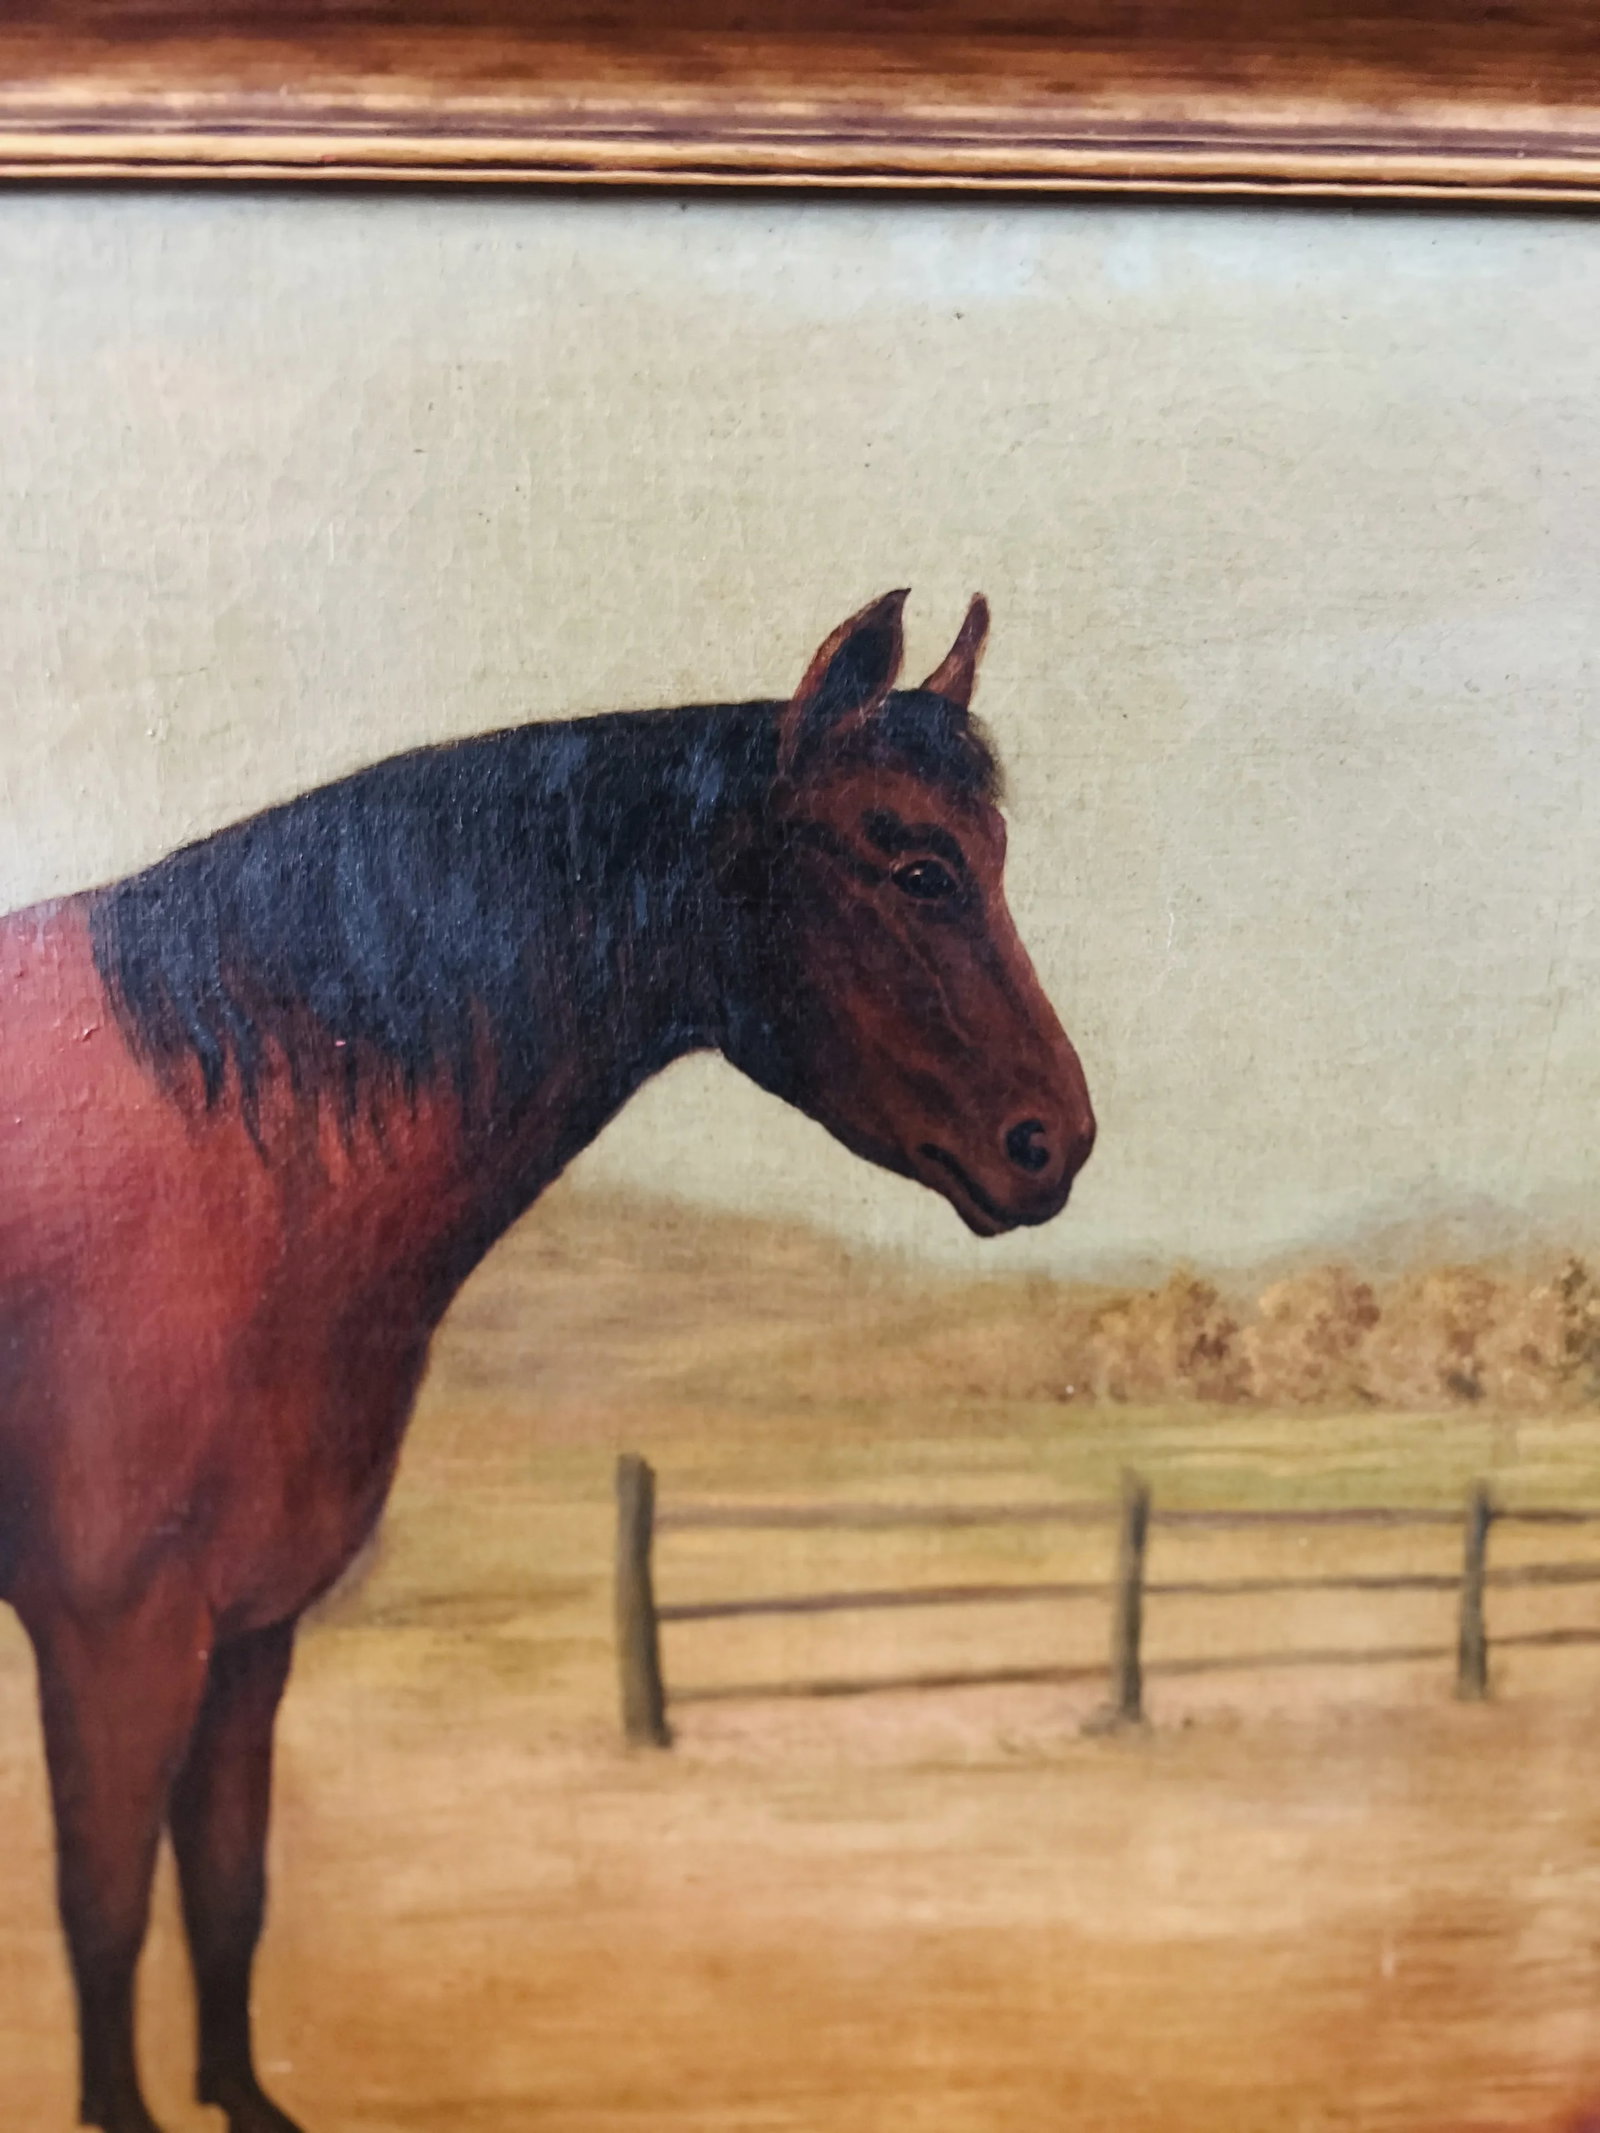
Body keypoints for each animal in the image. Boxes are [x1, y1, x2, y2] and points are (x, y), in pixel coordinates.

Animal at [0, 588, 1096, 2133]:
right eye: (919, 865)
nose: (1052, 1141)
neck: (218, 1162)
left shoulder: (248, 1632)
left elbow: (226, 1889)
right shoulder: (111, 1636)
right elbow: (103, 1914)